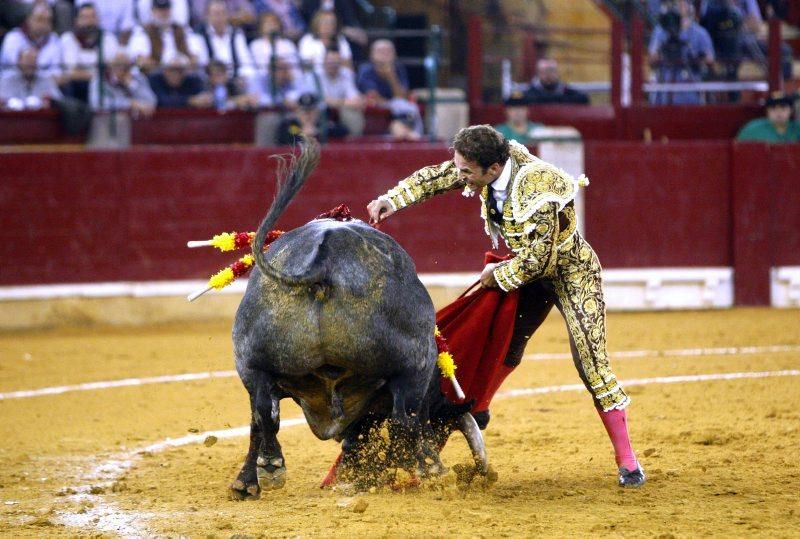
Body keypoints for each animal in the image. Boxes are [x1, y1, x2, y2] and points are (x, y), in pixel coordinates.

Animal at [228, 140, 484, 502]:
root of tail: (324, 258)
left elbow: (257, 421)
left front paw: (245, 482)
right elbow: (403, 421)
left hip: (249, 358)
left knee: (263, 411)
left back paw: (271, 466)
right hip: (414, 361)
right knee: (405, 418)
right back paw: (428, 468)